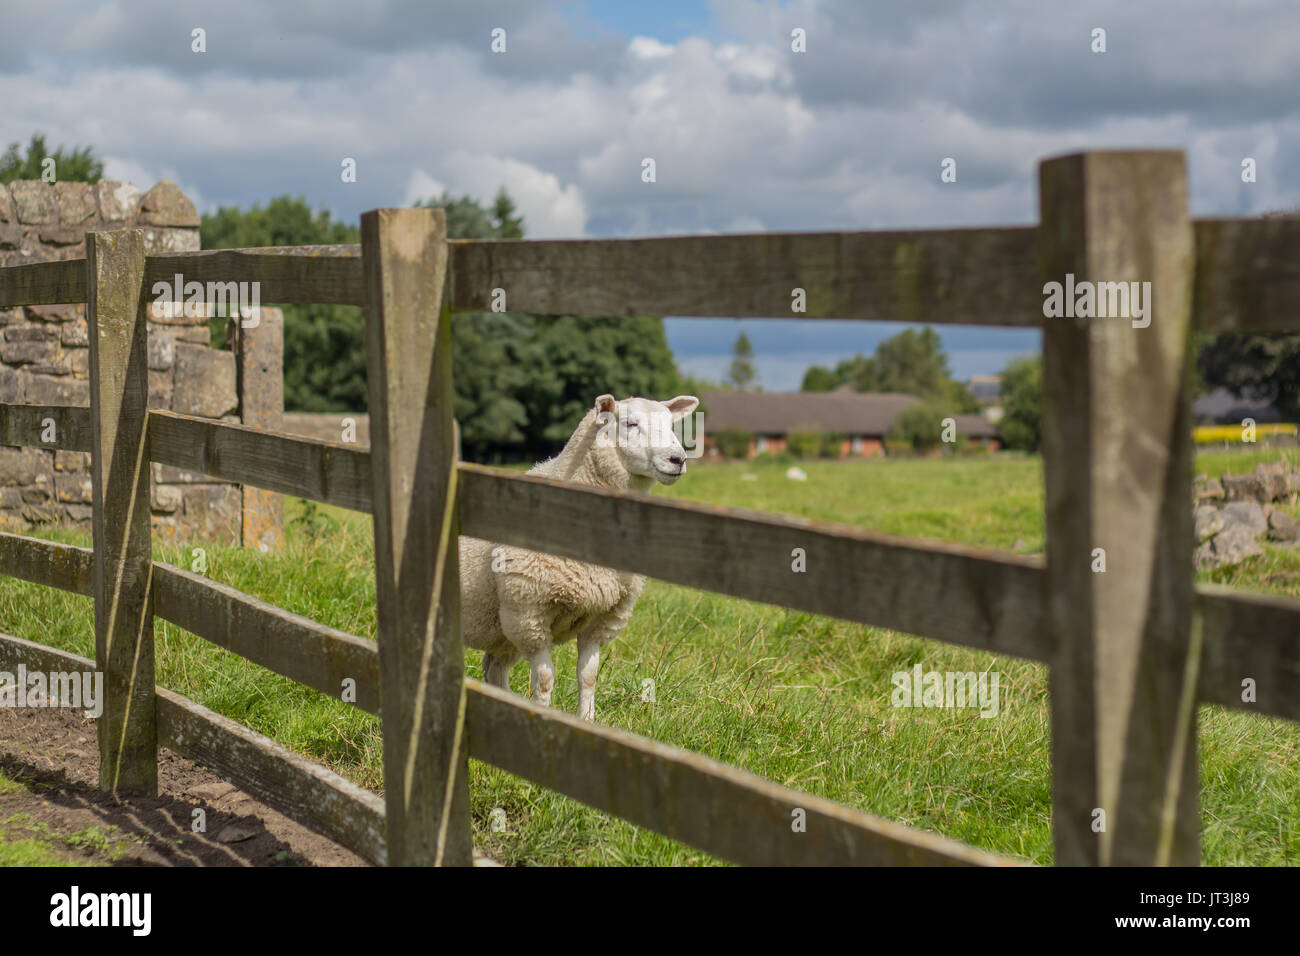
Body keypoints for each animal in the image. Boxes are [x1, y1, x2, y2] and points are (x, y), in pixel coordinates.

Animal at [460, 395, 702, 717]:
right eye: (630, 423)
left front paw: (586, 720)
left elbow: (588, 675)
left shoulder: (602, 618)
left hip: (500, 631)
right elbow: (545, 680)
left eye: (672, 425)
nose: (678, 459)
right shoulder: (529, 616)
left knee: (493, 669)